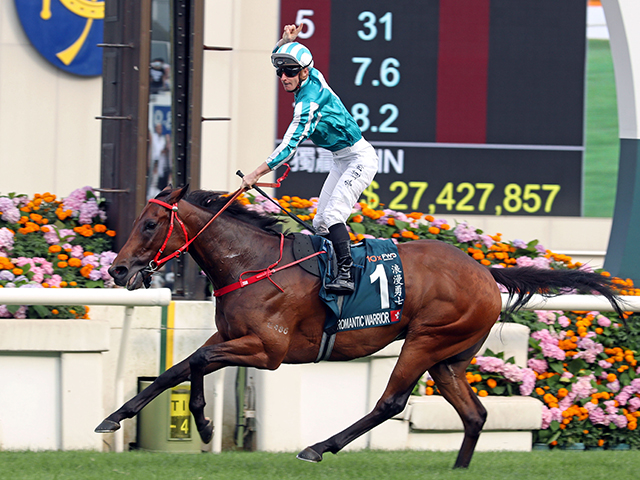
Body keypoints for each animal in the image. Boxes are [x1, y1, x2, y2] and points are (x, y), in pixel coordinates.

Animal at [96, 185, 624, 468]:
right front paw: (126, 417)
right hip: (449, 359)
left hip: (426, 340)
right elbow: (181, 367)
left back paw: (318, 447)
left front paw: (199, 423)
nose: (118, 270)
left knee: (391, 403)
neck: (251, 264)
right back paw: (457, 467)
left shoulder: (268, 351)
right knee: (474, 415)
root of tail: (484, 270)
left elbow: (196, 362)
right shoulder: (231, 336)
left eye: (149, 224)